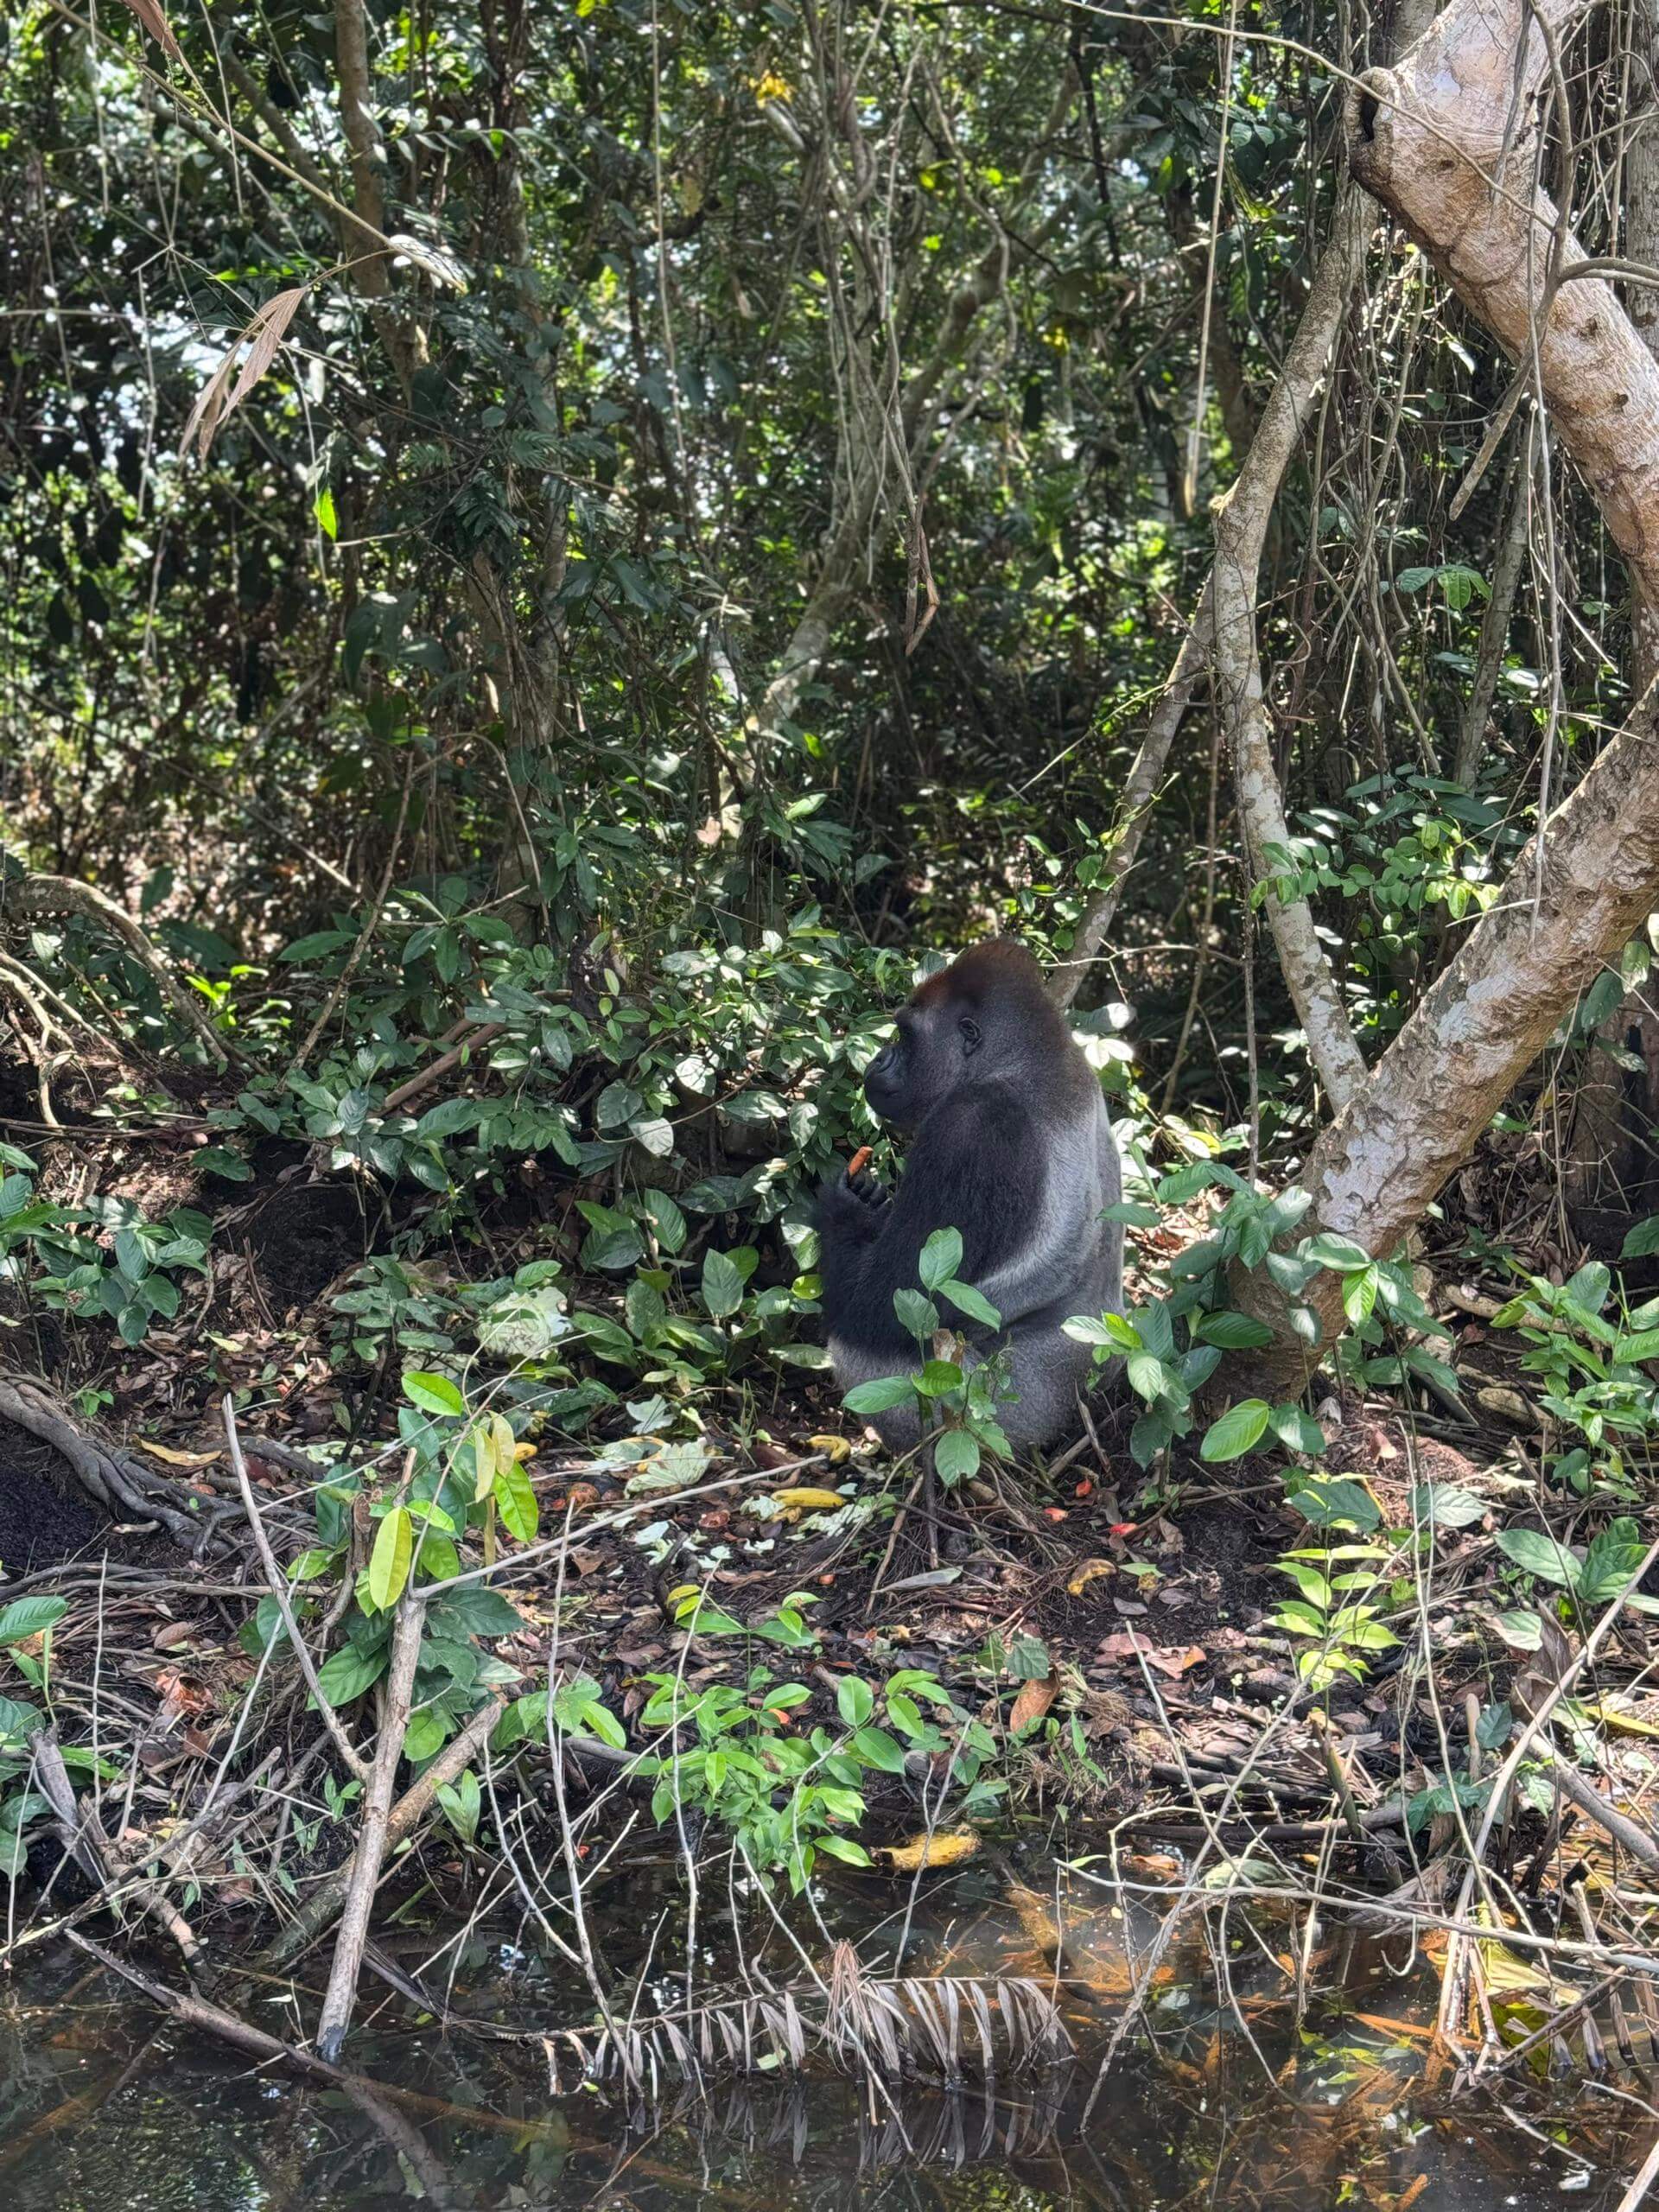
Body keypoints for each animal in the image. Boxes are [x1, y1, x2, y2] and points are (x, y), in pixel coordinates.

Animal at [817, 938, 1123, 1454]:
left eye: (905, 1035)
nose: (878, 1059)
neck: (1021, 1060)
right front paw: (868, 1199)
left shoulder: (969, 1127)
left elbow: (880, 1308)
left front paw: (844, 1211)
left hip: (989, 1416)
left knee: (863, 1354)